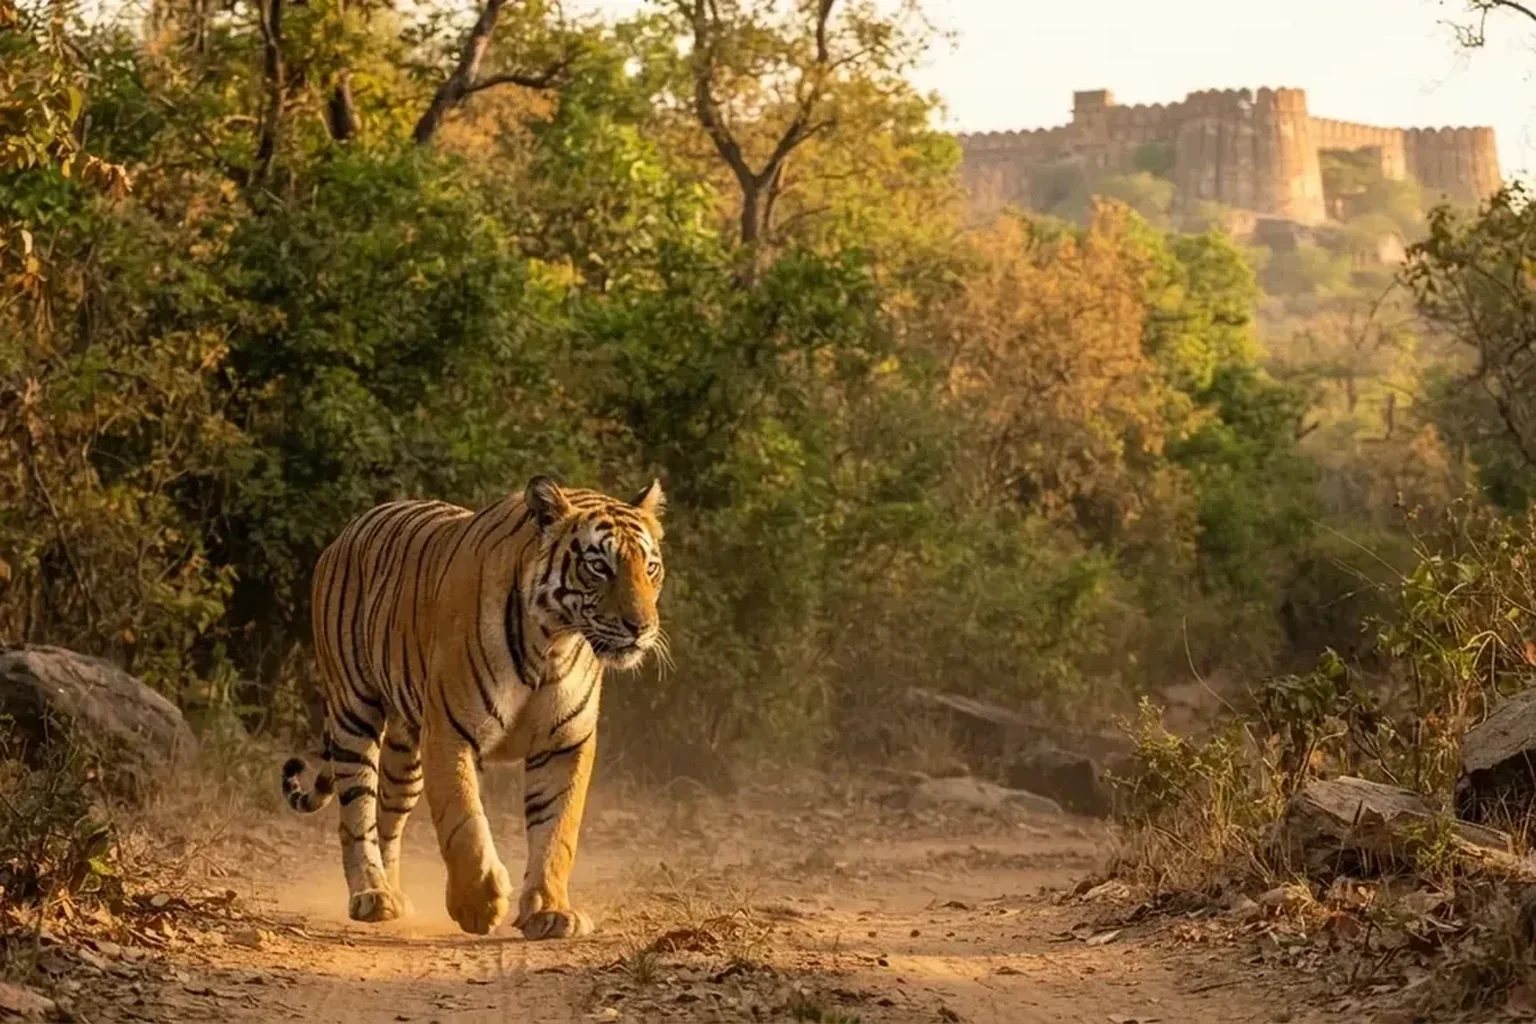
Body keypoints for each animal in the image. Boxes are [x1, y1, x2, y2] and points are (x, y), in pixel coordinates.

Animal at [280, 475, 666, 938]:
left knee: (386, 819)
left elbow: (557, 830)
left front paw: (550, 911)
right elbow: (463, 819)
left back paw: (393, 892)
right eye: (599, 567)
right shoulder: (450, 732)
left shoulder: (565, 743)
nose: (641, 628)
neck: (553, 643)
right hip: (355, 712)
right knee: (356, 814)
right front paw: (479, 904)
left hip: (406, 752)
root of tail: (347, 531)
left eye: (650, 568)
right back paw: (372, 895)